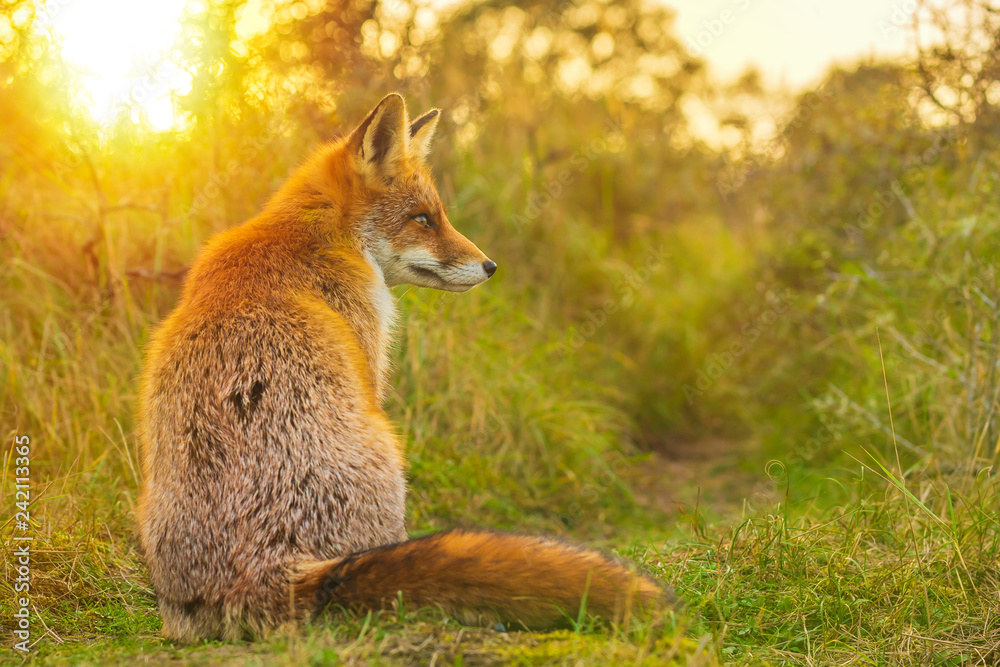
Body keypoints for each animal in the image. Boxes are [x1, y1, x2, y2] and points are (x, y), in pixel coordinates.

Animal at [136, 93, 668, 642]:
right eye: (423, 219)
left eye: (438, 216)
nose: (491, 267)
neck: (316, 239)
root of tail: (263, 572)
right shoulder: (367, 358)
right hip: (387, 447)